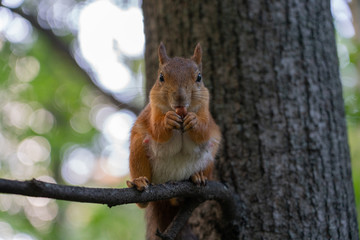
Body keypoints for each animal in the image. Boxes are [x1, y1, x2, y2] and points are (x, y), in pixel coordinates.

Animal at [126, 42, 222, 240]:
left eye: (199, 77)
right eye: (161, 77)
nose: (180, 98)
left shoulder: (208, 118)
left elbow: (204, 131)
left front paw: (194, 121)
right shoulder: (151, 112)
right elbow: (157, 129)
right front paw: (167, 121)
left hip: (209, 161)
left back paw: (197, 177)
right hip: (138, 151)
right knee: (143, 203)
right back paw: (139, 182)